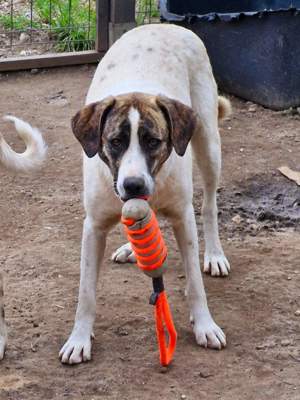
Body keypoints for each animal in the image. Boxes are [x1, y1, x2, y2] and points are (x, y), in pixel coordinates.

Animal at [59, 23, 231, 364]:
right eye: (115, 142)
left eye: (153, 141)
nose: (134, 185)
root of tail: (164, 24)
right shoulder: (94, 227)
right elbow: (86, 293)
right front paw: (79, 338)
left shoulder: (182, 218)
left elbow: (195, 282)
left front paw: (205, 325)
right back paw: (130, 247)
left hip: (208, 143)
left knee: (209, 204)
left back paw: (215, 254)